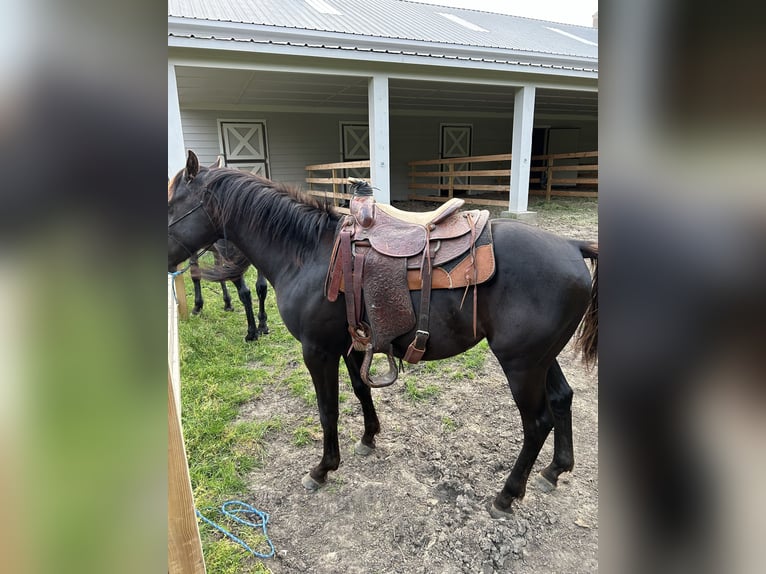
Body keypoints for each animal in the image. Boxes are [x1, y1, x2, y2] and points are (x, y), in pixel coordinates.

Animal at [168, 151, 600, 520]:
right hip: (541, 358)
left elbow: (328, 410)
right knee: (562, 399)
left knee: (537, 422)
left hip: (521, 364)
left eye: (171, 205)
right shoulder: (350, 344)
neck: (307, 254)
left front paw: (323, 468)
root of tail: (572, 245)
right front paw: (369, 437)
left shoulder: (317, 350)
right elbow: (362, 390)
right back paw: (554, 471)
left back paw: (507, 495)